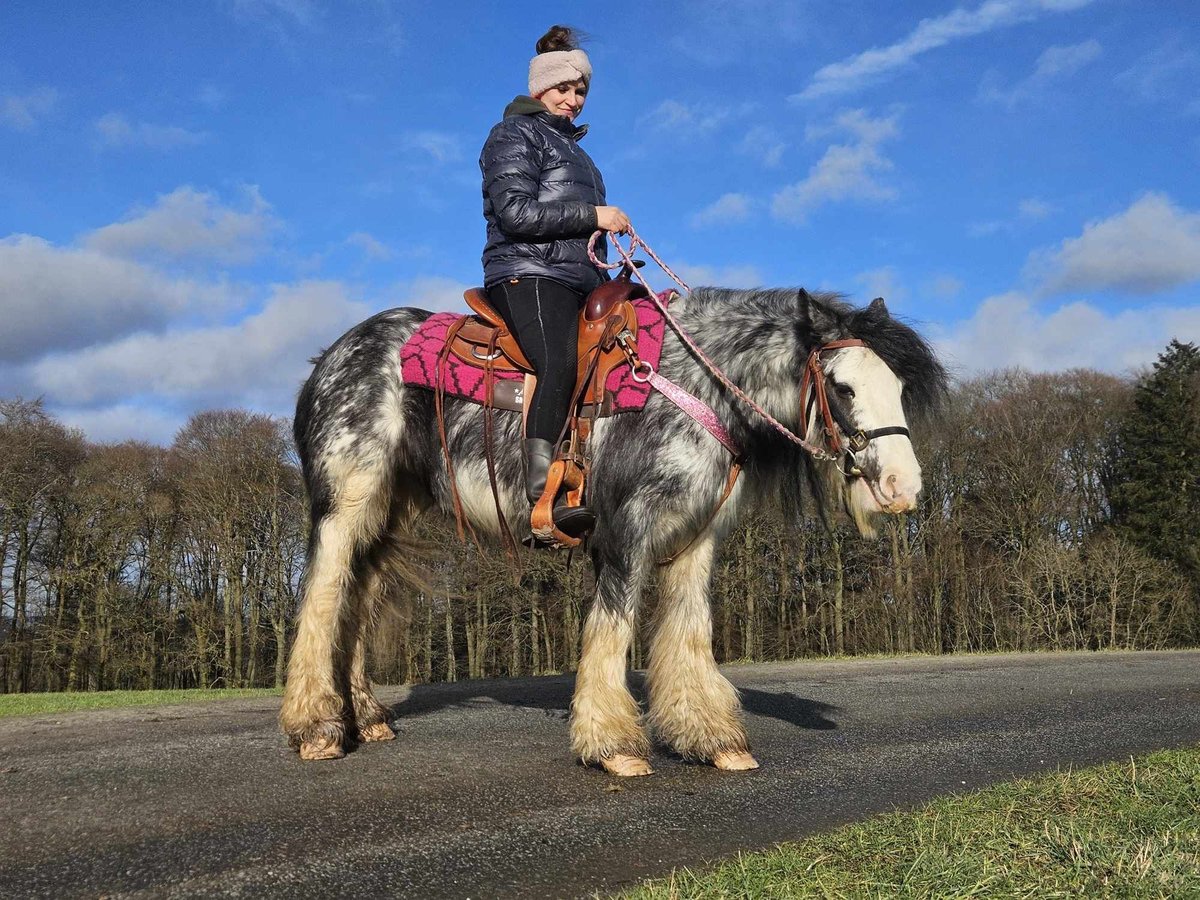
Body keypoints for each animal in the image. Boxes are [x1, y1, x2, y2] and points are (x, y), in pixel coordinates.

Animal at [280, 286, 945, 777]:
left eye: (898, 387)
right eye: (842, 385)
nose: (903, 488)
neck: (691, 386)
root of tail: (327, 360)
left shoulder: (694, 539)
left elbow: (689, 632)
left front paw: (712, 738)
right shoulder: (625, 530)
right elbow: (612, 628)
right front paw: (614, 744)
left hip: (385, 514)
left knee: (357, 599)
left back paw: (366, 717)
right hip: (346, 502)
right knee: (323, 596)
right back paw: (316, 728)